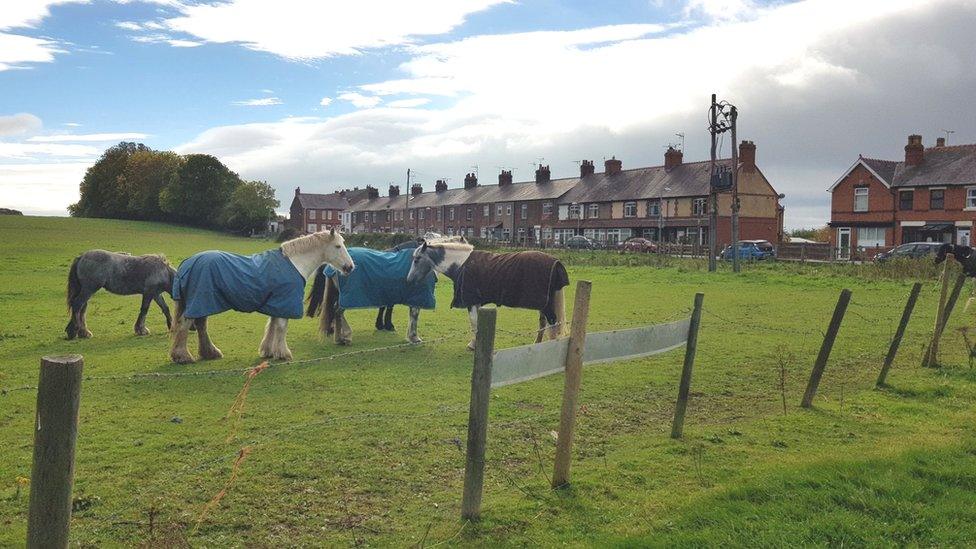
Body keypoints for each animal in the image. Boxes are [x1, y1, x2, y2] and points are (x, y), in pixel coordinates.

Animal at [171, 228, 354, 364]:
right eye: (338, 246)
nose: (350, 267)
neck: (294, 263)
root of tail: (189, 262)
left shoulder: (277, 304)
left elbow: (271, 326)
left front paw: (268, 351)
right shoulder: (284, 303)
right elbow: (281, 327)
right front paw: (283, 353)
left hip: (202, 303)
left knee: (201, 325)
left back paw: (209, 353)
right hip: (198, 302)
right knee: (185, 324)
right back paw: (183, 356)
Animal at [406, 241, 572, 352]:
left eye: (416, 259)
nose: (409, 280)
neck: (461, 264)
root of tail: (556, 262)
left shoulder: (472, 302)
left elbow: (474, 323)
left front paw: (473, 345)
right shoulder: (477, 303)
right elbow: (477, 324)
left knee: (552, 323)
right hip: (543, 303)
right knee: (544, 323)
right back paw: (536, 344)